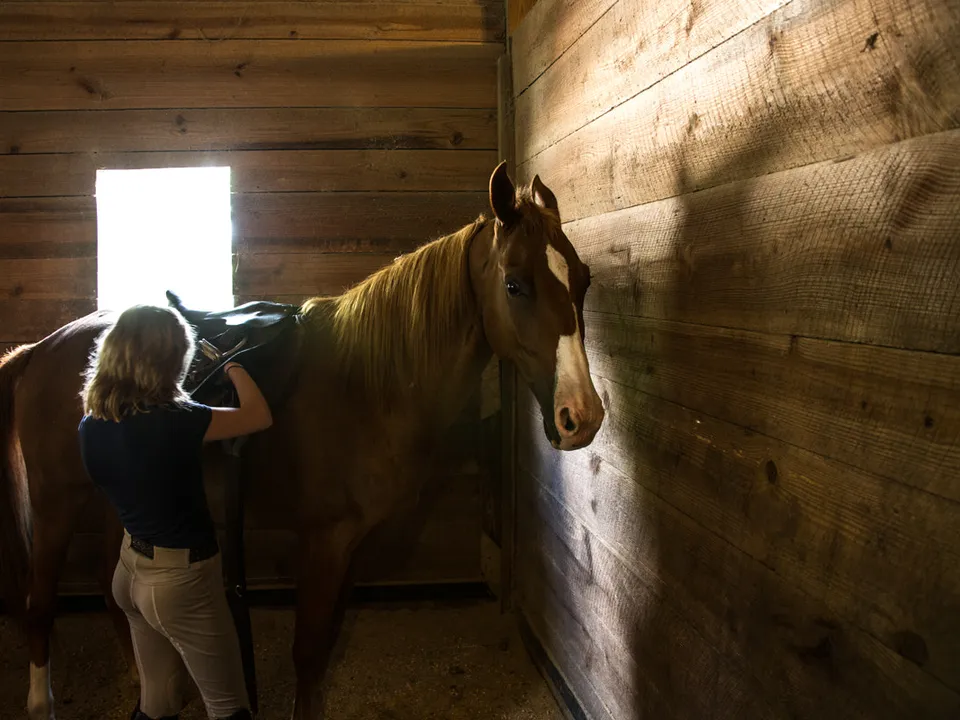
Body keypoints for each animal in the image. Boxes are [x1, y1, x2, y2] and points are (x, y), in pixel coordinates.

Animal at [0, 161, 605, 719]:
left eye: (582, 279)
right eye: (515, 284)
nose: (583, 417)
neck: (365, 384)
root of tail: (42, 348)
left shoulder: (351, 548)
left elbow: (323, 648)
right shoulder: (324, 540)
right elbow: (308, 651)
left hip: (114, 505)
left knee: (111, 590)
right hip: (56, 505)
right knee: (39, 605)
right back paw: (41, 702)